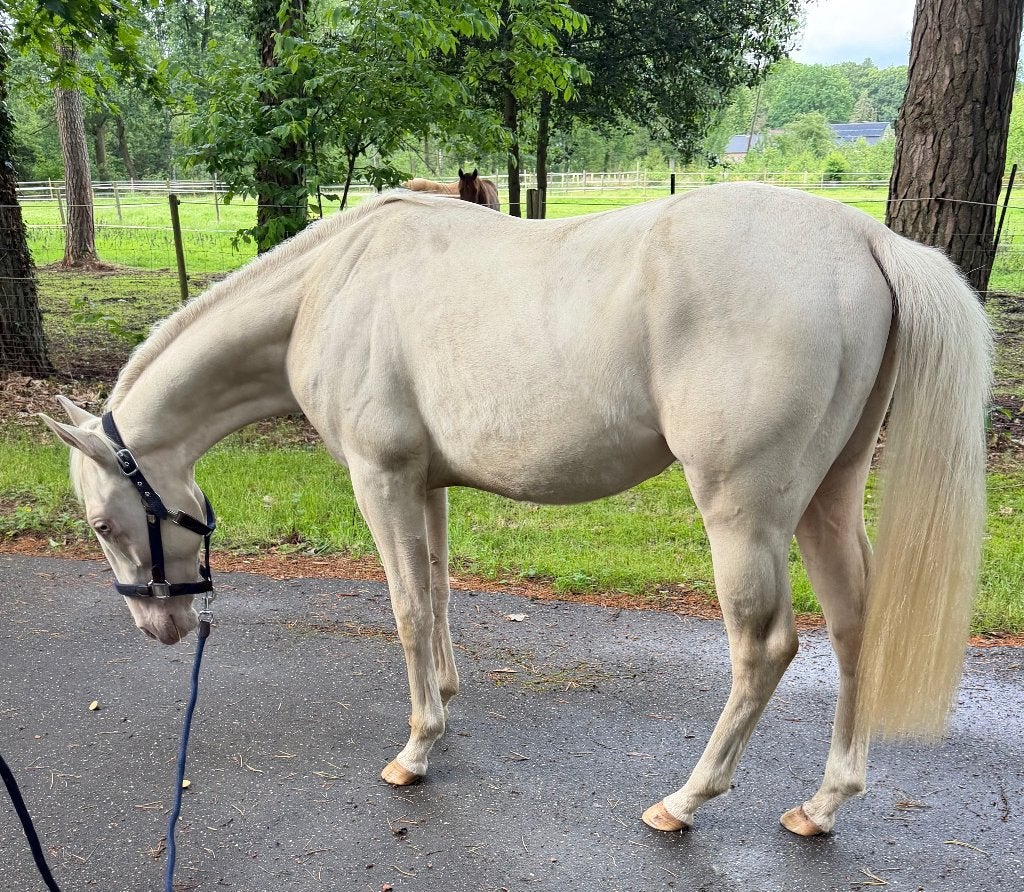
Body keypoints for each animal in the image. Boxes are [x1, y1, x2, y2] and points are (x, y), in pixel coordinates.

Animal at [41, 183, 991, 838]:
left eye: (100, 523)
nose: (162, 627)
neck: (329, 285)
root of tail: (865, 237)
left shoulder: (380, 479)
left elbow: (407, 605)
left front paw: (416, 750)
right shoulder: (423, 483)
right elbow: (439, 594)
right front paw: (444, 704)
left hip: (744, 514)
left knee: (765, 648)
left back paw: (685, 801)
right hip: (827, 500)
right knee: (856, 625)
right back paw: (824, 804)